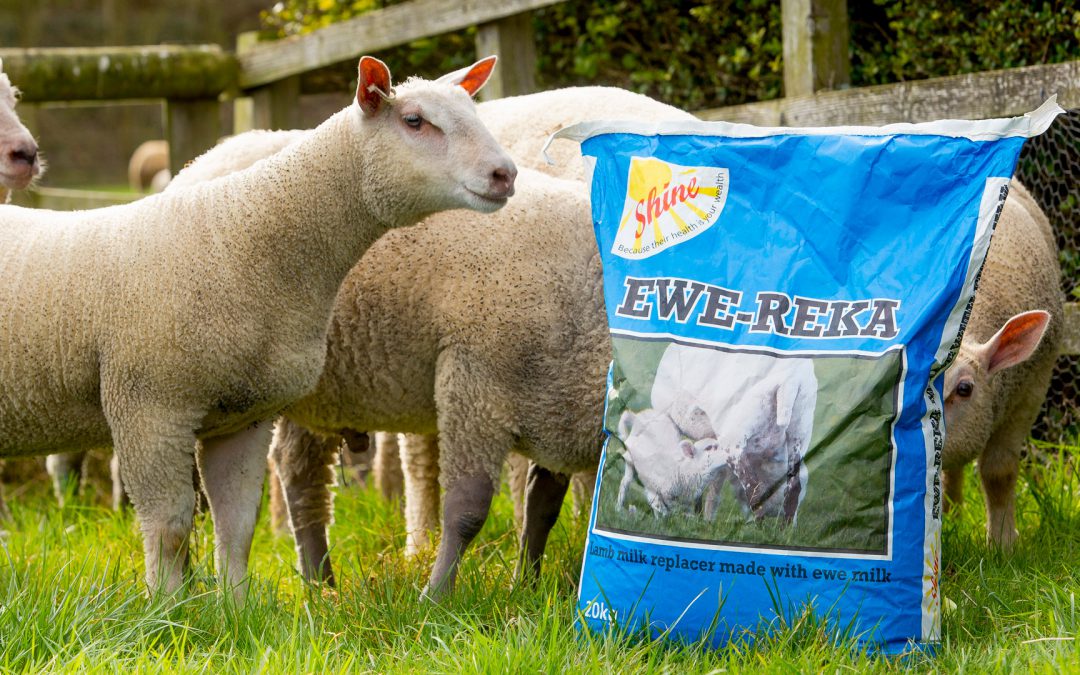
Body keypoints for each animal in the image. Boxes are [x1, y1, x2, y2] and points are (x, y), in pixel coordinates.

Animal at [0, 55, 514, 596]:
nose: (505, 173)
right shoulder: (149, 407)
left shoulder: (245, 413)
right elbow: (170, 525)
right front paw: (167, 607)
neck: (244, 236)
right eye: (415, 121)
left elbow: (237, 523)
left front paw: (234, 605)